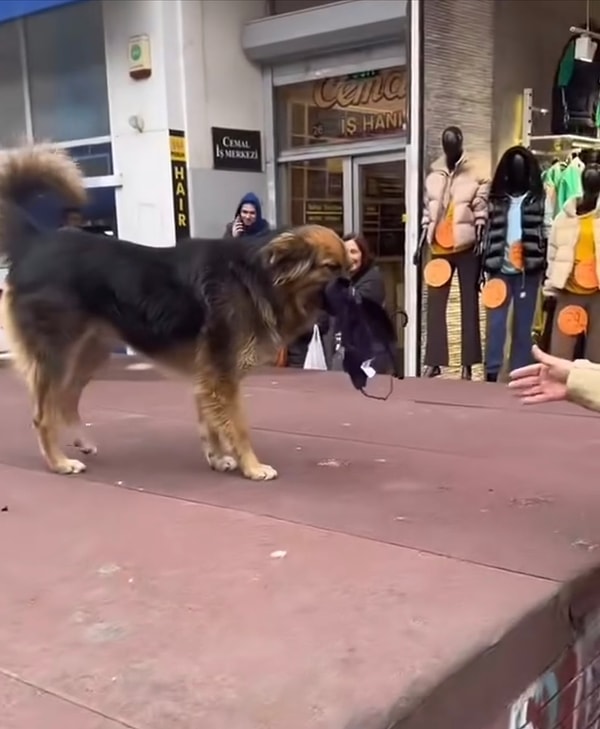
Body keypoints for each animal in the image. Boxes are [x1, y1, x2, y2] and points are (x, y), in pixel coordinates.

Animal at [0, 146, 346, 480]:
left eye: (348, 265)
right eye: (331, 267)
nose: (352, 287)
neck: (256, 277)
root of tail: (36, 242)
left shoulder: (208, 377)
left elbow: (212, 424)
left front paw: (217, 458)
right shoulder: (222, 376)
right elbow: (238, 427)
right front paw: (252, 466)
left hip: (90, 353)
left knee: (66, 398)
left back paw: (80, 442)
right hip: (58, 355)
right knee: (43, 414)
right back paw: (58, 462)